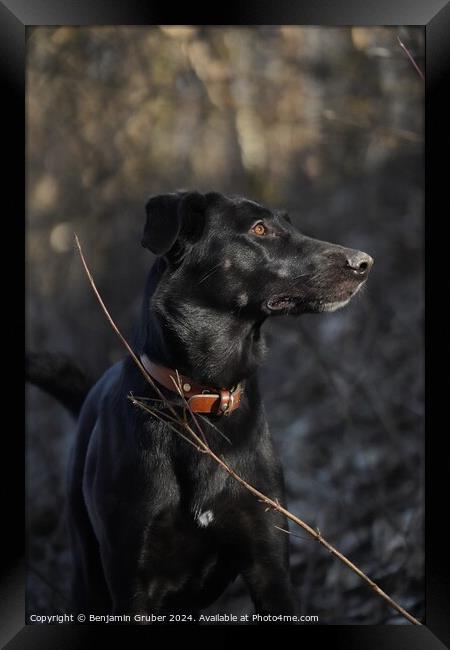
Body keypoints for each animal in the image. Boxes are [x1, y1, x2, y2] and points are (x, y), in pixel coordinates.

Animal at [28, 191, 372, 616]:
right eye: (260, 229)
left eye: (290, 224)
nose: (364, 262)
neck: (201, 399)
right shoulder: (133, 584)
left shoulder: (269, 566)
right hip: (88, 574)